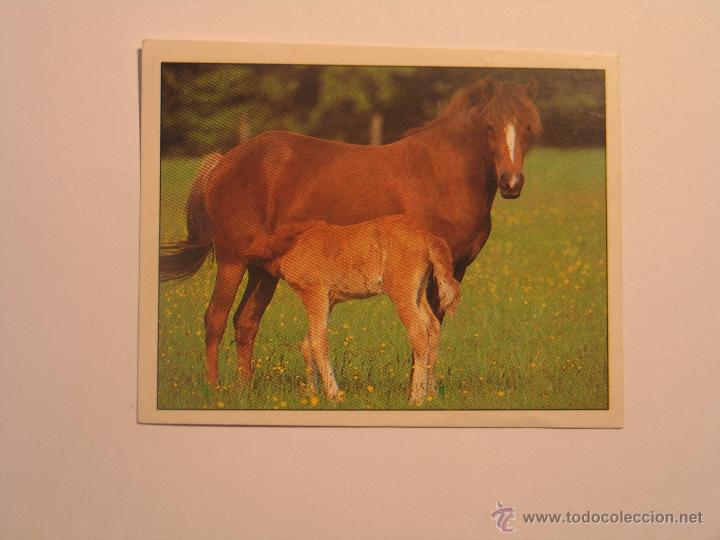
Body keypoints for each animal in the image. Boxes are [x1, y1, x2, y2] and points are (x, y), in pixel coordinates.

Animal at [265, 215, 460, 405]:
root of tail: (429, 238)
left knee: (419, 333)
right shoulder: (328, 302)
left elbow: (318, 343)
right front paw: (311, 394)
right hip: (418, 292)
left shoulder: (314, 294)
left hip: (402, 293)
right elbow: (308, 344)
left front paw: (334, 396)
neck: (295, 241)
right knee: (433, 325)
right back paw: (431, 394)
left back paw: (416, 398)